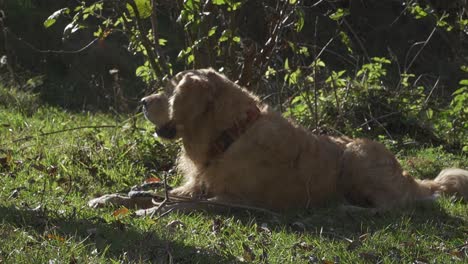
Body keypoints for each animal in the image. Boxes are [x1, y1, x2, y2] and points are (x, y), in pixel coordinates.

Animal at [138, 68, 464, 210]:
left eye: (171, 90)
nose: (142, 101)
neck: (233, 133)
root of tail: (409, 177)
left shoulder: (237, 200)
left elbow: (186, 204)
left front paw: (149, 208)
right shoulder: (197, 185)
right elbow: (162, 192)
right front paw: (134, 194)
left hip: (357, 153)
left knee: (389, 206)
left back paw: (342, 207)